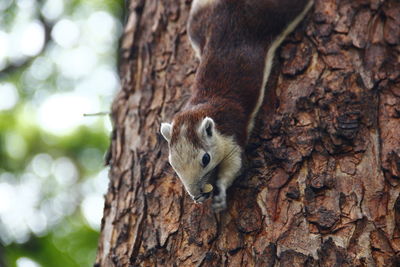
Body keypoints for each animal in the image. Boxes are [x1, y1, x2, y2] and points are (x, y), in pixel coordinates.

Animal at [159, 0, 312, 214]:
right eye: (172, 163)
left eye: (206, 159)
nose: (196, 194)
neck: (201, 108)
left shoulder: (232, 133)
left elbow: (234, 165)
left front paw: (220, 193)